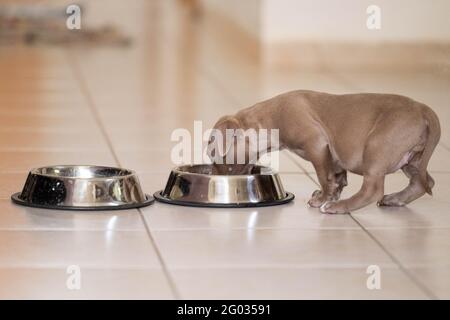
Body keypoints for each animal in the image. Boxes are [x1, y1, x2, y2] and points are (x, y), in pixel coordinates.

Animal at [207, 90, 440, 214]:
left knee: (372, 189)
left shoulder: (317, 144)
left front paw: (325, 199)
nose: (217, 180)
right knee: (422, 182)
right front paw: (329, 193)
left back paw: (340, 207)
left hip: (377, 146)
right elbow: (336, 177)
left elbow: (323, 175)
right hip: (412, 159)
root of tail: (423, 110)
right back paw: (396, 199)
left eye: (213, 153)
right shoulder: (332, 157)